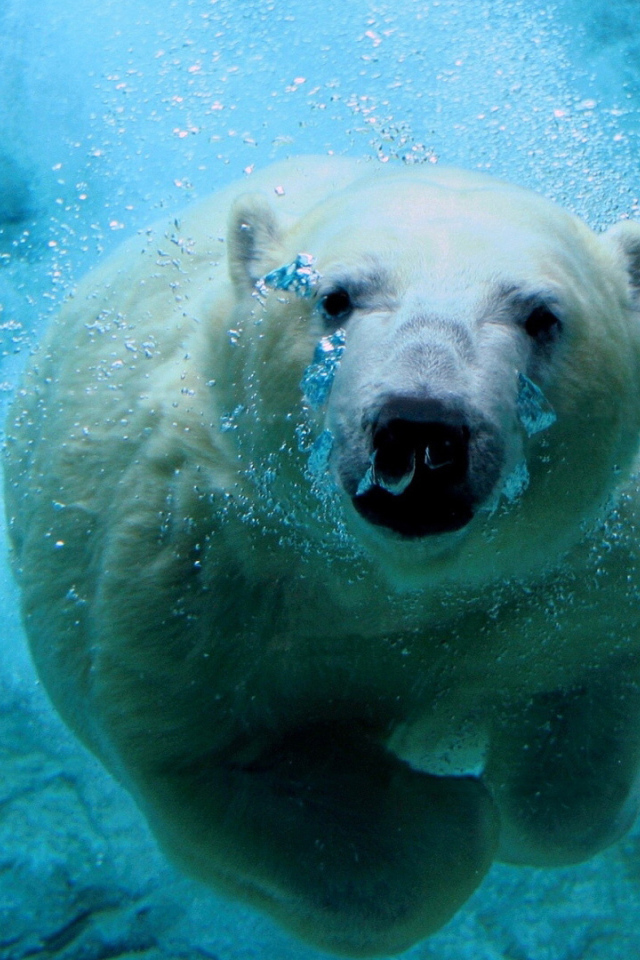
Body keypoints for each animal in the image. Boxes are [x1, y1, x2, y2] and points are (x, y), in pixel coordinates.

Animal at [5, 155, 640, 957]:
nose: (421, 428)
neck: (393, 581)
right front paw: (452, 811)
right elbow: (209, 762)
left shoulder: (578, 571)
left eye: (542, 315)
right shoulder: (195, 573)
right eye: (335, 297)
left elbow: (578, 730)